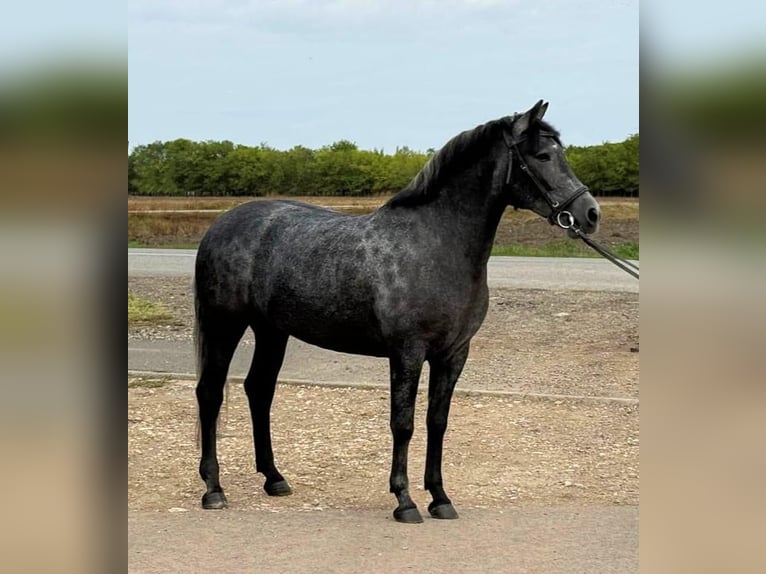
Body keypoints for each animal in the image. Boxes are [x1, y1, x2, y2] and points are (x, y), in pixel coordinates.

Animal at [193, 100, 601, 523]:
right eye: (542, 155)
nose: (589, 214)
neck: (436, 245)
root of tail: (222, 224)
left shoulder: (453, 354)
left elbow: (437, 422)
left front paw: (440, 497)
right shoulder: (408, 352)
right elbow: (402, 423)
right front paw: (404, 500)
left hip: (272, 330)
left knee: (259, 390)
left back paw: (274, 479)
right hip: (225, 324)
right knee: (210, 393)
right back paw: (213, 489)